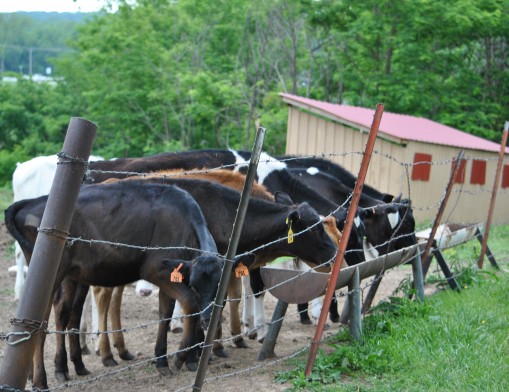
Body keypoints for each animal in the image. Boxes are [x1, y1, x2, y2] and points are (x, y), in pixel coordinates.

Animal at [3, 181, 222, 388]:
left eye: (219, 287)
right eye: (194, 285)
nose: (208, 319)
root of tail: (31, 201)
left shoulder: (170, 276)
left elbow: (165, 316)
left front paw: (163, 361)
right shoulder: (156, 269)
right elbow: (190, 303)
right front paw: (180, 357)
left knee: (61, 313)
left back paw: (57, 370)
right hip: (52, 272)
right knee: (42, 321)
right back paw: (41, 380)